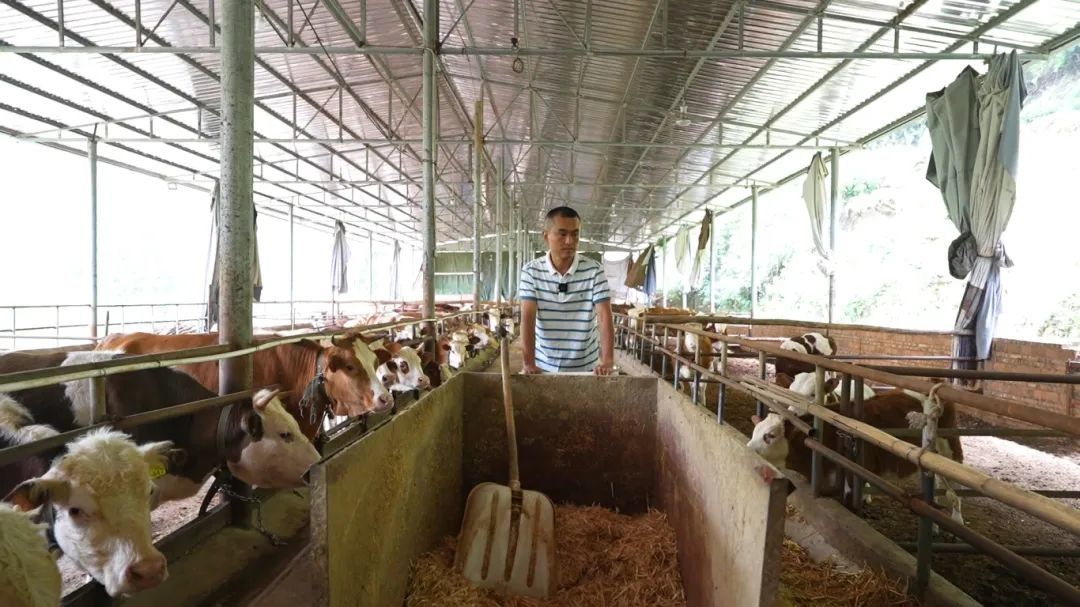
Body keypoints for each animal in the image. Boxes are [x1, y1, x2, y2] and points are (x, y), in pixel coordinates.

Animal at [747, 389, 964, 524]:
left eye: (770, 435)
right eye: (755, 431)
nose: (747, 448)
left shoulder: (851, 483)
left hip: (950, 449)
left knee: (957, 488)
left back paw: (957, 518)